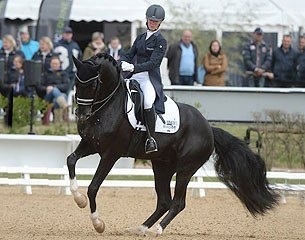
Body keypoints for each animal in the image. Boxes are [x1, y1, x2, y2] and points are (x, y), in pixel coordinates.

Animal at [67, 53, 278, 236]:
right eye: (76, 82)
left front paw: (98, 223)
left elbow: (93, 187)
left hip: (186, 168)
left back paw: (158, 230)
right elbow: (70, 160)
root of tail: (209, 128)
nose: (82, 115)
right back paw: (141, 228)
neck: (109, 105)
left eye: (94, 83)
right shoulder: (90, 144)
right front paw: (78, 199)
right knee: (164, 201)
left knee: (178, 202)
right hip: (162, 166)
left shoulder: (111, 154)